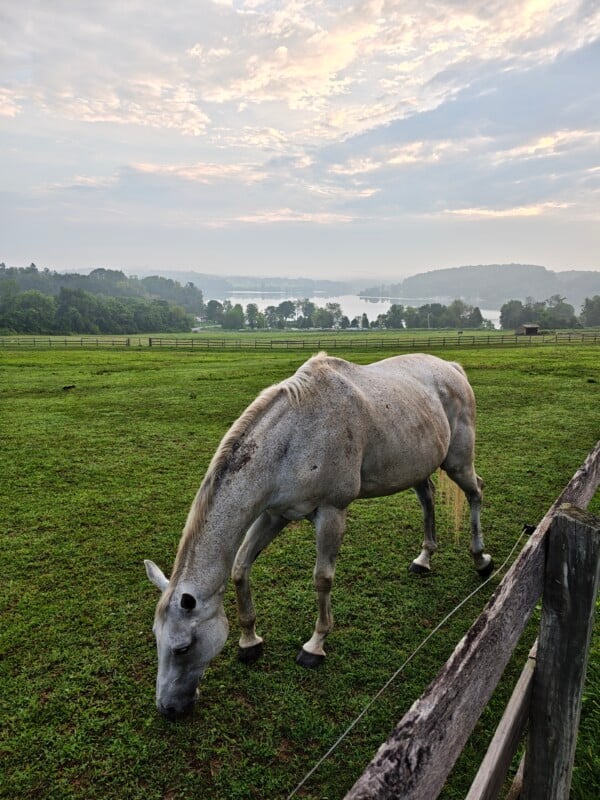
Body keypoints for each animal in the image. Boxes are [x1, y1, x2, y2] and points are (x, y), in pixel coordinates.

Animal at [145, 352, 492, 721]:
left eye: (183, 648)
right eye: (157, 639)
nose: (168, 708)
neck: (292, 441)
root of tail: (451, 367)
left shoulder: (331, 512)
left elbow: (322, 579)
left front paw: (314, 646)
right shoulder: (274, 514)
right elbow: (240, 568)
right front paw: (249, 641)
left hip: (458, 462)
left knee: (475, 492)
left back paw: (481, 559)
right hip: (418, 467)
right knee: (427, 499)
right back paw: (424, 559)